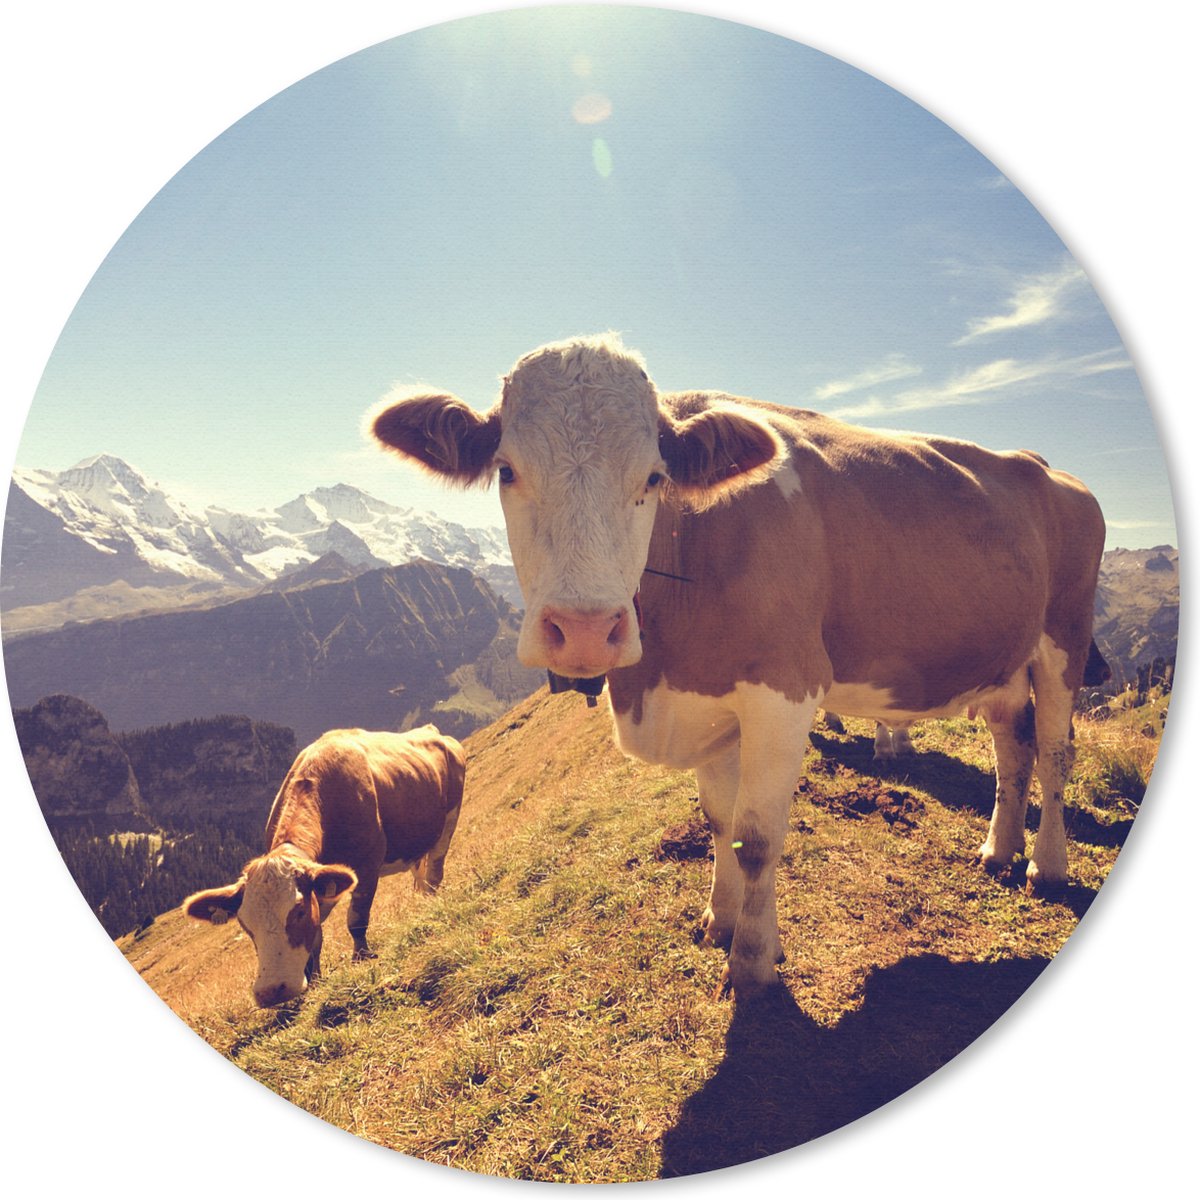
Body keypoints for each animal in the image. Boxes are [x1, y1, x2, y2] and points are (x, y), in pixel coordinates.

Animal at [183, 725, 465, 1007]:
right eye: (244, 923)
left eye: (298, 911)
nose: (272, 990)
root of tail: (431, 730)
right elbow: (316, 936)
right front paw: (316, 979)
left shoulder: (366, 868)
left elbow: (356, 920)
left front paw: (360, 958)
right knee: (420, 876)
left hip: (449, 822)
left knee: (434, 873)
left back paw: (430, 905)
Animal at [368, 333, 1106, 999]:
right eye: (506, 470)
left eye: (654, 477)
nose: (583, 631)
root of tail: (1048, 469)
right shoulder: (709, 697)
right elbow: (718, 819)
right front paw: (721, 921)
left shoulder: (784, 689)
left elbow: (756, 835)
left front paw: (751, 962)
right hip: (1003, 657)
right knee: (1012, 747)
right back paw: (998, 850)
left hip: (1064, 640)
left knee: (1052, 752)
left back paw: (1046, 865)